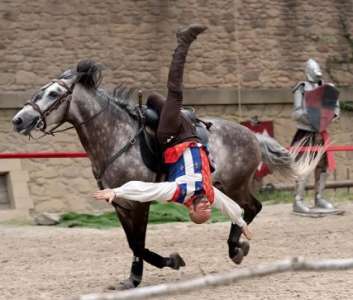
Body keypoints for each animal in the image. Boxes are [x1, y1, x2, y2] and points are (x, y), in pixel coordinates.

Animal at [11, 59, 320, 288]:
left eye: (53, 94)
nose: (19, 120)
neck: (115, 137)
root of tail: (253, 135)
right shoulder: (120, 204)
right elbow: (132, 241)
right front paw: (136, 277)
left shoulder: (140, 202)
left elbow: (139, 243)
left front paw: (163, 265)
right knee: (246, 209)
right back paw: (236, 247)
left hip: (236, 184)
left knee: (252, 208)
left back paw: (235, 249)